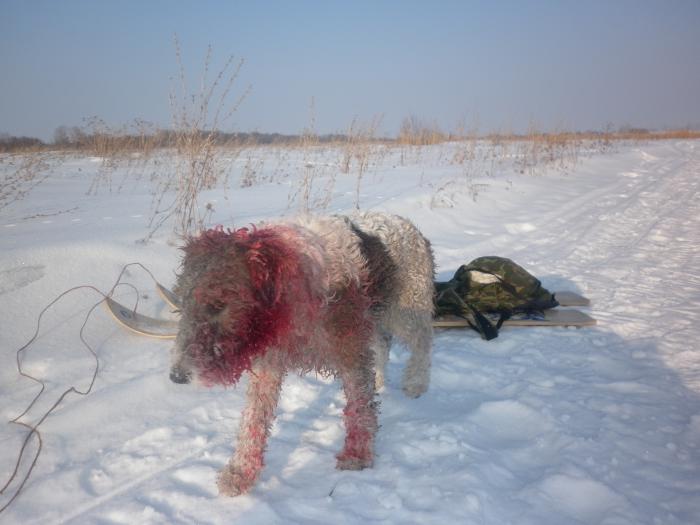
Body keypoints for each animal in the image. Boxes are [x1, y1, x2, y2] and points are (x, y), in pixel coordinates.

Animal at [169, 211, 432, 494]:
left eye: (218, 305)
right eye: (183, 303)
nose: (176, 376)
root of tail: (409, 225)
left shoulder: (350, 352)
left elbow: (360, 408)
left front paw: (357, 457)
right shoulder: (269, 365)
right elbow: (253, 419)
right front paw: (240, 472)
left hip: (405, 312)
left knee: (423, 341)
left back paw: (416, 382)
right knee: (383, 346)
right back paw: (383, 381)